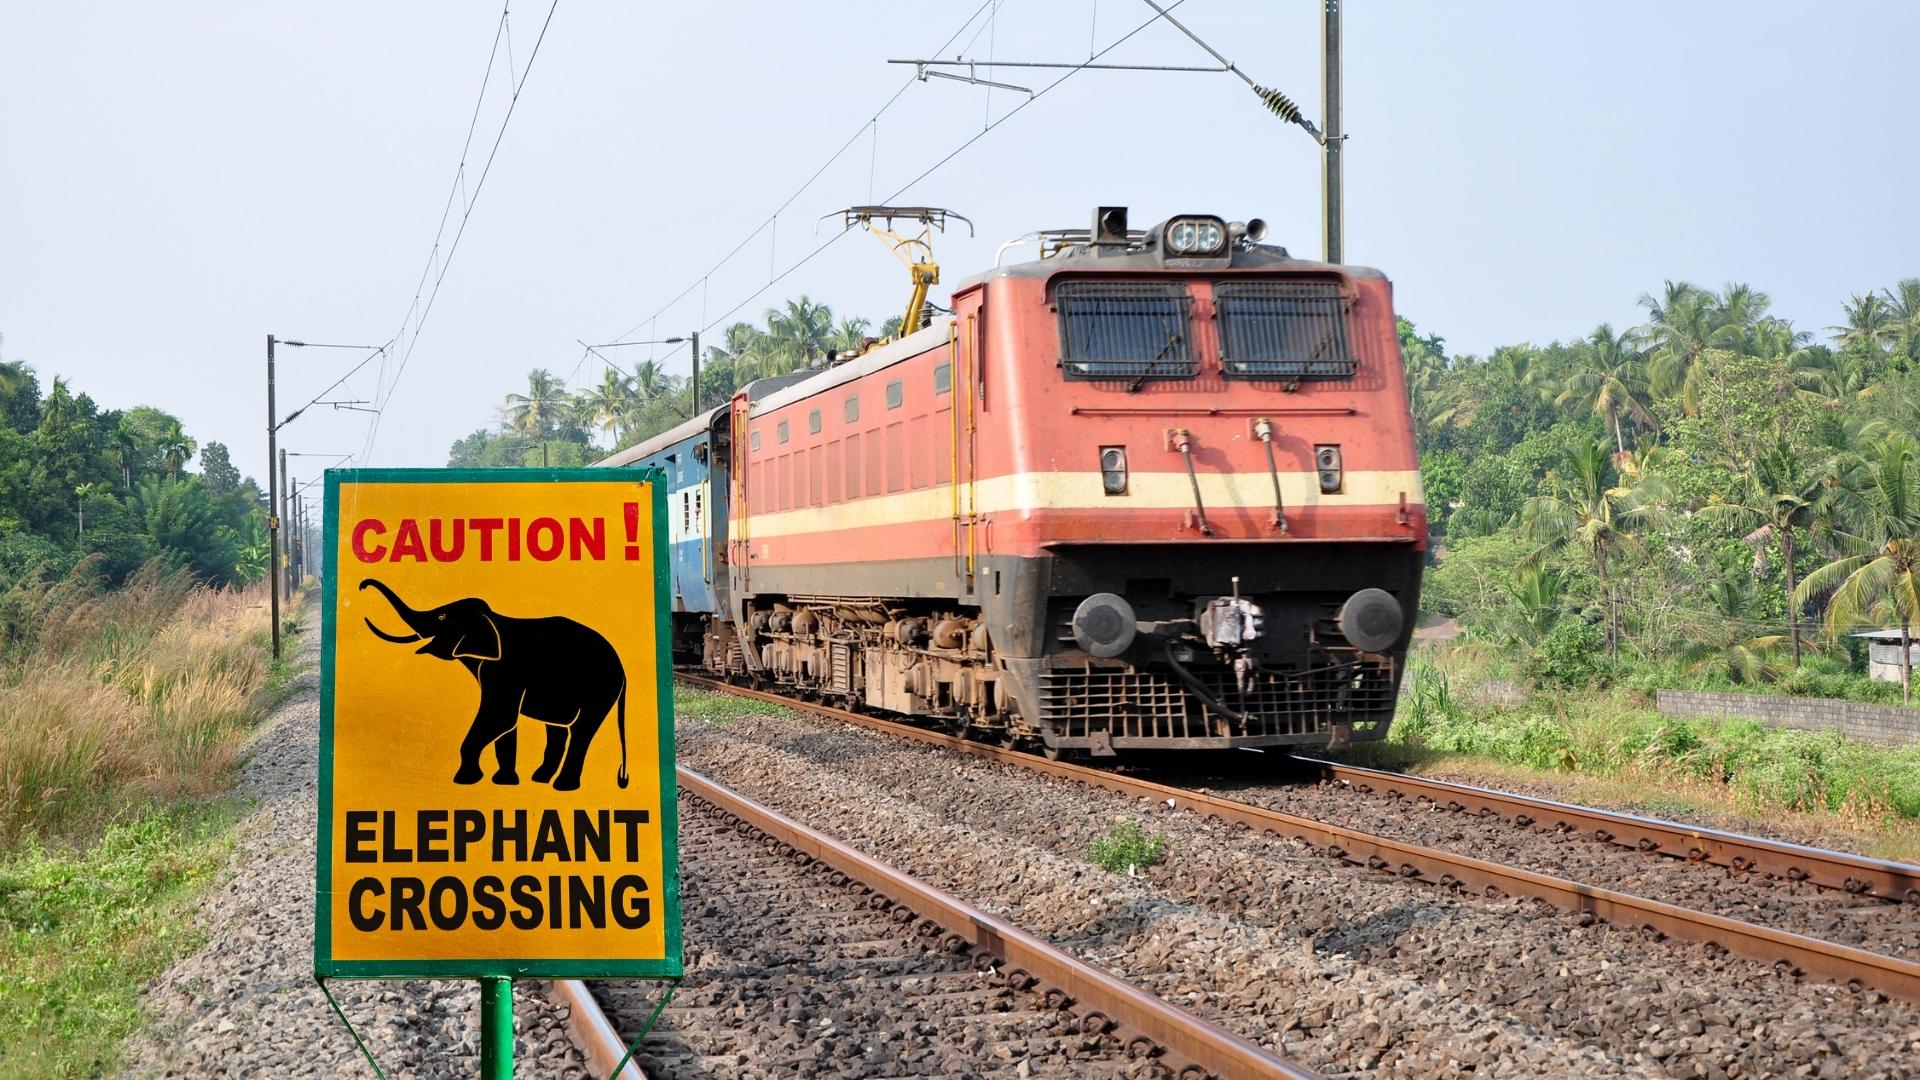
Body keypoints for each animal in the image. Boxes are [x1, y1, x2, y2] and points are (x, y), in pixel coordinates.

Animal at [358, 578, 629, 792]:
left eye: (442, 616)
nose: (362, 586)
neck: (491, 618)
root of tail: (623, 671)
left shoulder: (504, 672)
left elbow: (500, 717)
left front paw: (465, 779)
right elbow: (506, 725)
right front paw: (505, 782)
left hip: (600, 691)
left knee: (581, 731)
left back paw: (562, 786)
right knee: (557, 728)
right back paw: (540, 779)